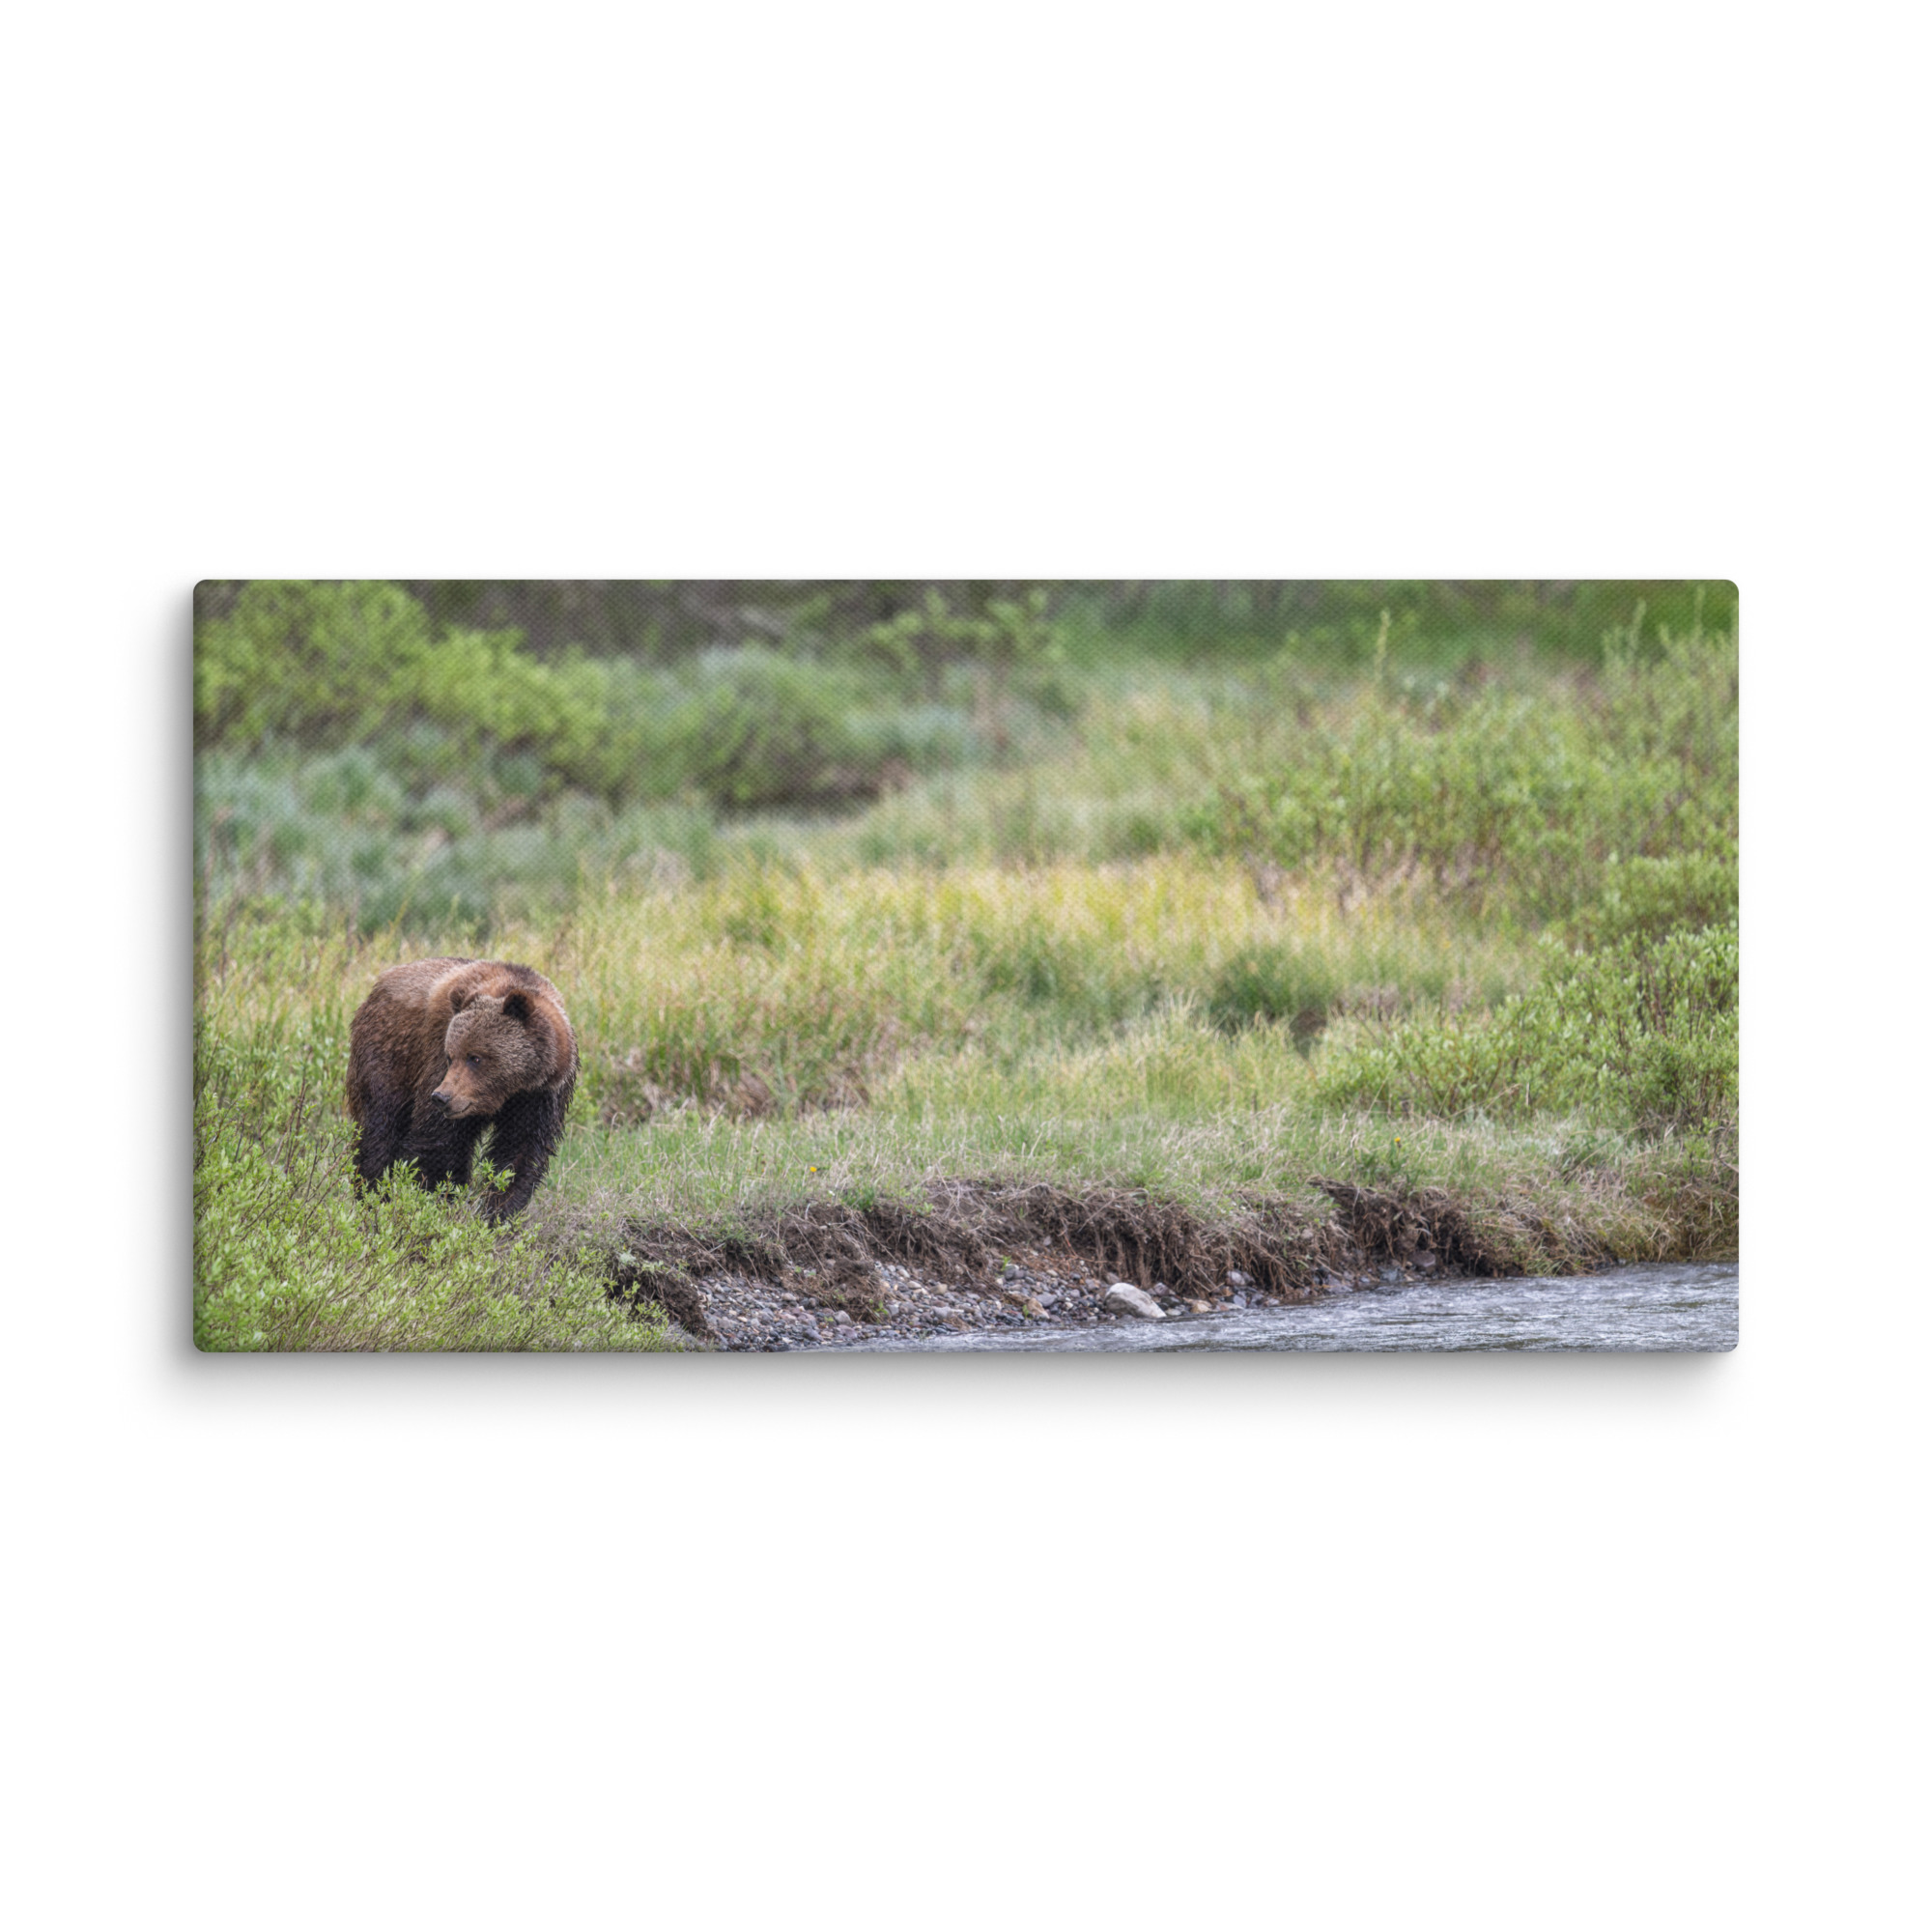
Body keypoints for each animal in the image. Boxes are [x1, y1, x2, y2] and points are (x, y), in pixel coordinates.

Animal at [346, 957, 578, 1223]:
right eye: (451, 1056)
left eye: (475, 1057)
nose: (442, 1097)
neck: (510, 1090)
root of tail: (378, 985)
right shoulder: (436, 1060)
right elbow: (438, 1144)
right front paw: (435, 1202)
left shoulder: (541, 1096)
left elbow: (519, 1153)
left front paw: (498, 1212)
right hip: (389, 1056)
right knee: (379, 1129)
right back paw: (372, 1197)